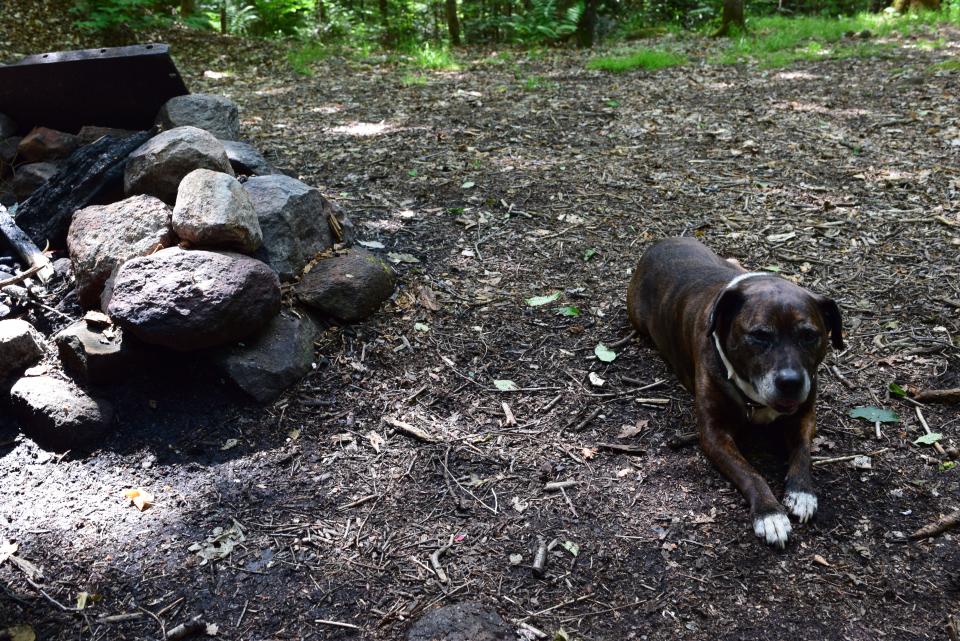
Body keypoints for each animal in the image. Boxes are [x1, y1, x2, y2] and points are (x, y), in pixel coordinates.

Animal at [624, 238, 840, 548]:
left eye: (809, 335)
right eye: (760, 335)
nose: (790, 382)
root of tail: (663, 241)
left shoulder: (804, 416)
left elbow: (802, 451)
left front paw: (802, 492)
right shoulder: (714, 435)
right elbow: (751, 473)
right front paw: (770, 513)